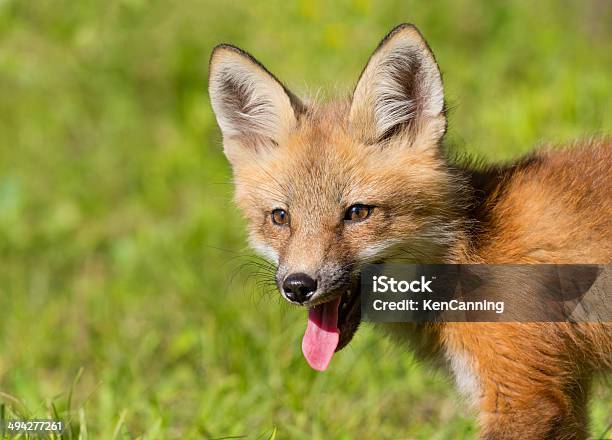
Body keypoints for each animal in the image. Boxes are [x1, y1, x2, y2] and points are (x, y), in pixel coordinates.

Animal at [208, 24, 608, 440]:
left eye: (357, 213)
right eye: (280, 217)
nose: (298, 286)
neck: (467, 250)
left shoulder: (525, 396)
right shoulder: (565, 394)